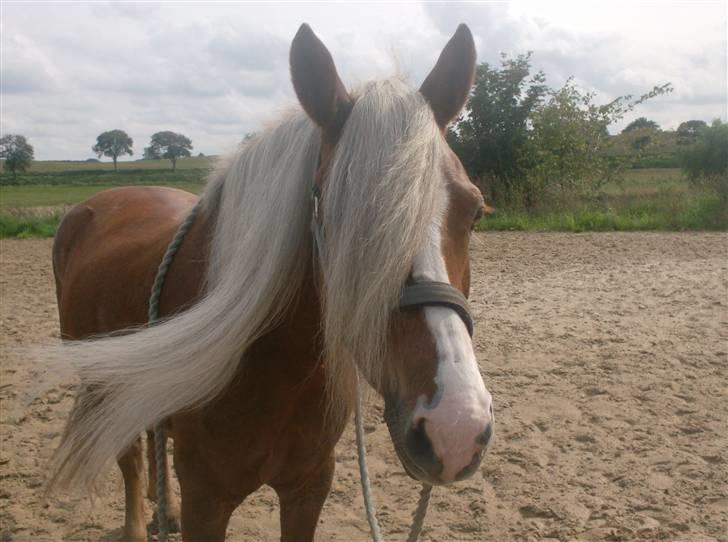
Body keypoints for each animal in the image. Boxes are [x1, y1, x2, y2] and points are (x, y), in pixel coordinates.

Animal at [44, 23, 494, 540]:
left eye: (475, 212)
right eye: (339, 218)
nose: (455, 428)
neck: (277, 366)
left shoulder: (308, 487)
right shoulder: (207, 500)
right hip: (103, 389)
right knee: (132, 459)